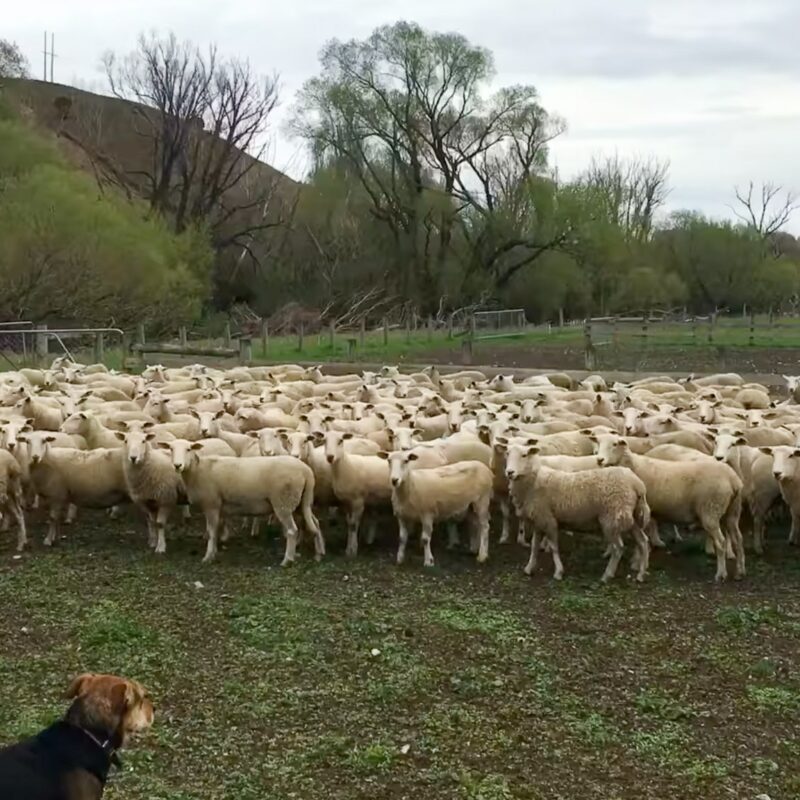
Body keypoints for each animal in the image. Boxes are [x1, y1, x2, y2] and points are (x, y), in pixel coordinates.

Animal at [506, 444, 648, 580]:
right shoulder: (538, 521)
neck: (533, 482)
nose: (509, 472)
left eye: (524, 455)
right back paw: (641, 574)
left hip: (612, 518)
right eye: (507, 453)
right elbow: (534, 547)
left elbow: (554, 547)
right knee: (643, 541)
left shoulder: (548, 520)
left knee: (618, 548)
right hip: (630, 517)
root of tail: (638, 484)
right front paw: (529, 568)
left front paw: (558, 572)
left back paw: (607, 575)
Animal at [592, 432, 744, 580]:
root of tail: (733, 479)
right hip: (732, 512)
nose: (599, 460)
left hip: (711, 510)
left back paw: (721, 573)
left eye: (615, 444)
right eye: (598, 442)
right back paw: (739, 572)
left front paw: (636, 562)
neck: (632, 465)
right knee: (738, 539)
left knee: (721, 542)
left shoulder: (640, 511)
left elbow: (640, 540)